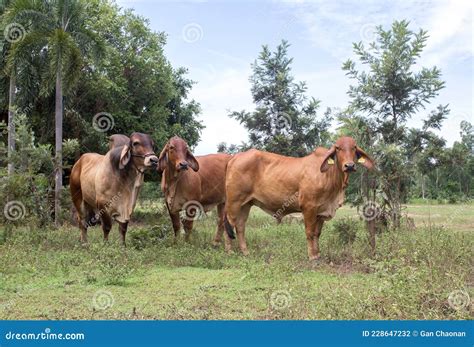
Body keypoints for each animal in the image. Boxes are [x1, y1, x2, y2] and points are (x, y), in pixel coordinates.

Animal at [223, 137, 374, 262]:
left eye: (354, 147)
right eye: (338, 148)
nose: (349, 165)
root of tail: (234, 157)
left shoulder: (321, 211)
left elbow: (317, 233)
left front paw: (318, 254)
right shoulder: (308, 207)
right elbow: (310, 232)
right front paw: (312, 256)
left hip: (246, 204)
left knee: (240, 226)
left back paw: (245, 252)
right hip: (234, 202)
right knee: (229, 224)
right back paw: (230, 252)